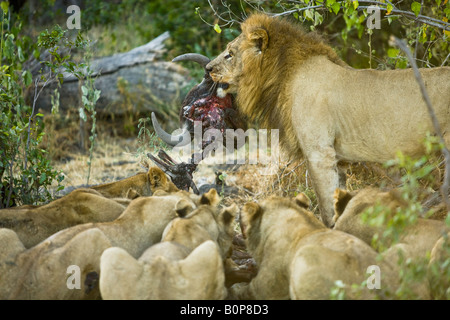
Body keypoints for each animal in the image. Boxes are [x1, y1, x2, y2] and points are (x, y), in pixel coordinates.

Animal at [207, 13, 450, 228]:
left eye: (230, 54)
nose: (207, 68)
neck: (283, 75)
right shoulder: (338, 158)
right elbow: (339, 199)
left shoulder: (319, 152)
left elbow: (326, 207)